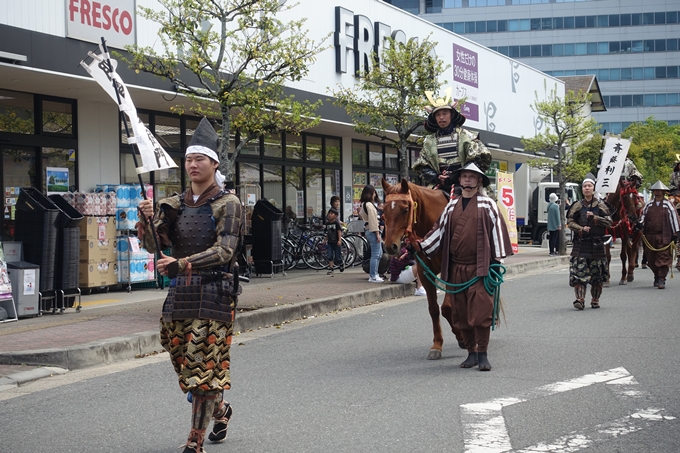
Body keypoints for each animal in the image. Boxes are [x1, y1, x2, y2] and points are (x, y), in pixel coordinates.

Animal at [380, 178, 464, 358]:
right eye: (383, 211)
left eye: (405, 210)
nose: (390, 246)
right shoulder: (424, 272)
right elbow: (433, 309)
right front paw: (437, 345)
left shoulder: (450, 270)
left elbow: (447, 307)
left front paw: (461, 337)